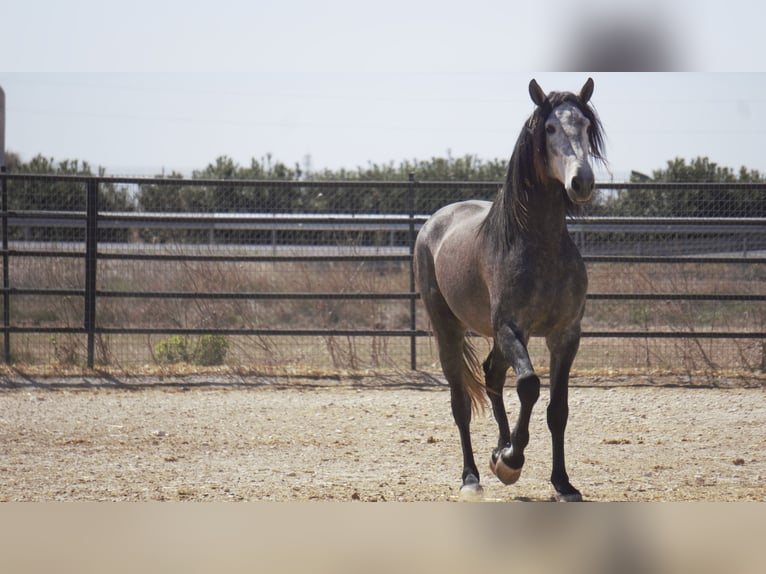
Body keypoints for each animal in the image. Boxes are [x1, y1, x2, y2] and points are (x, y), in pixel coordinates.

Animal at [416, 79, 608, 502]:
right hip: (449, 329)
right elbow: (529, 385)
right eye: (549, 128)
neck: (540, 245)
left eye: (586, 126)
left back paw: (497, 450)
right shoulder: (510, 328)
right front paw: (511, 461)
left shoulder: (566, 335)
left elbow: (557, 409)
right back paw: (472, 476)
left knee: (491, 374)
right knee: (461, 401)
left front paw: (562, 482)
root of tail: (434, 223)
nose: (582, 182)